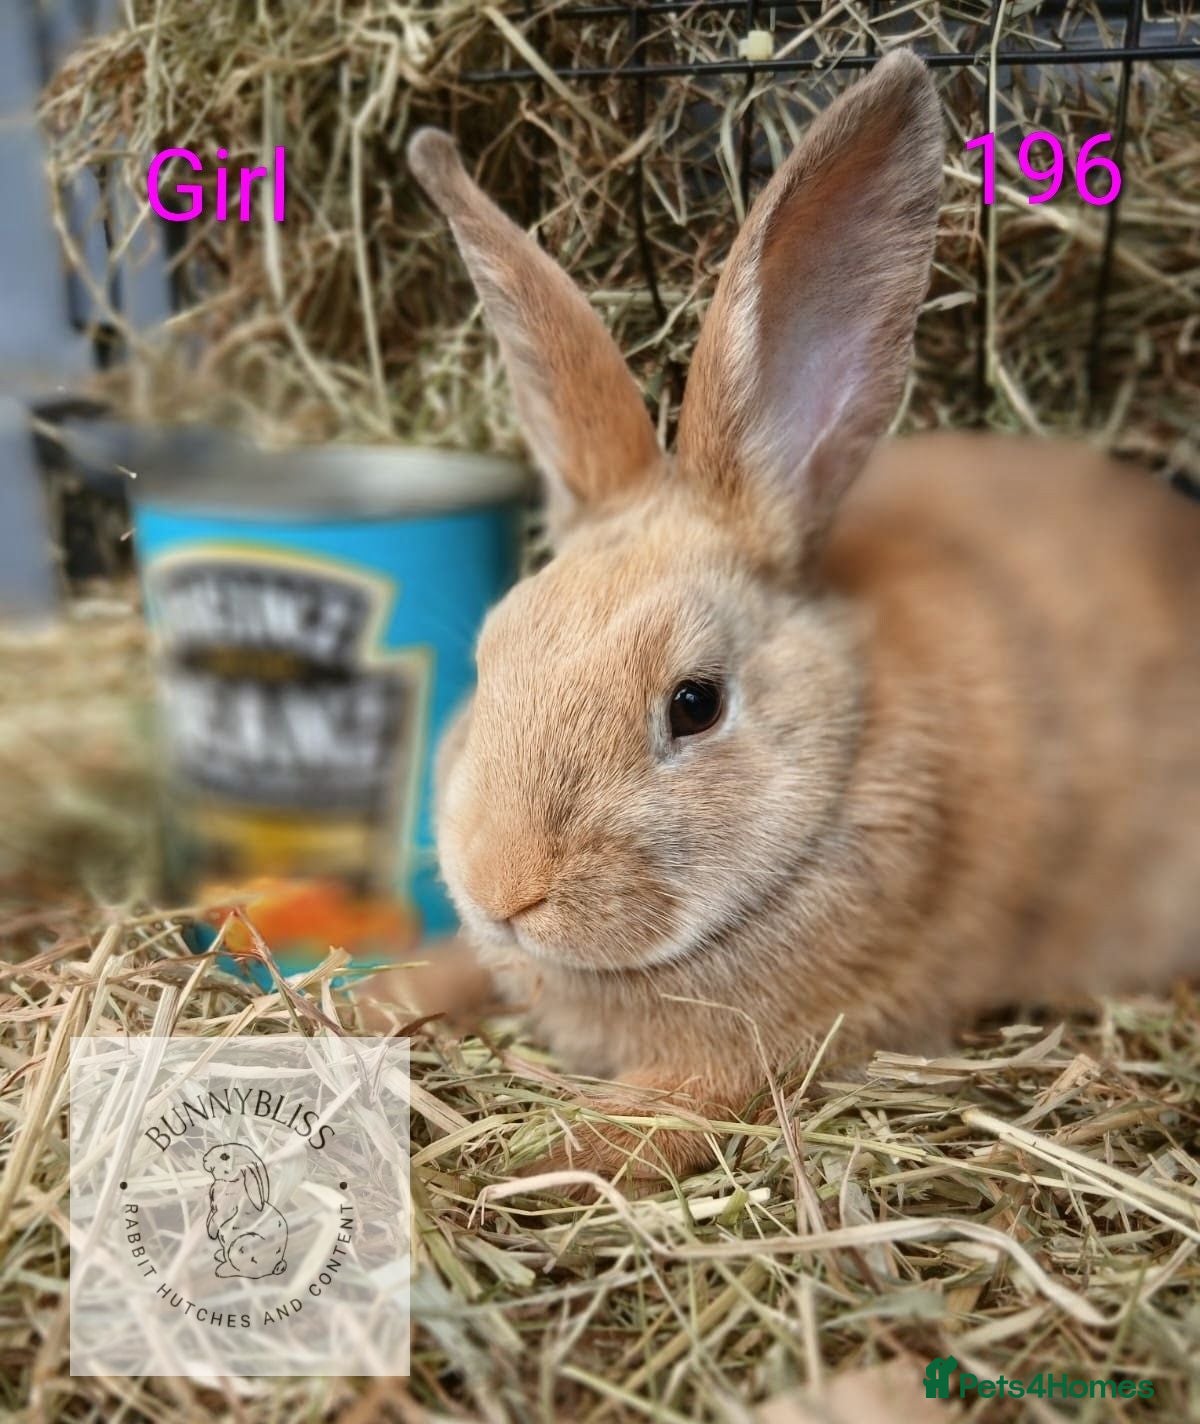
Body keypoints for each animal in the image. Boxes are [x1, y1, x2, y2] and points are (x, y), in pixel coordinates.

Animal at [203, 1143, 288, 1278]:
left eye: (224, 1156)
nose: (204, 1159)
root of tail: (276, 1265)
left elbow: (219, 1217)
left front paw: (212, 1233)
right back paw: (219, 1255)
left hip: (241, 1246)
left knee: (244, 1270)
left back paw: (222, 1270)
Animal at [386, 50, 1200, 1186]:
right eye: (491, 654)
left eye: (694, 703)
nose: (505, 888)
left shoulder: (750, 1052)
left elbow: (644, 1121)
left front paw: (534, 1155)